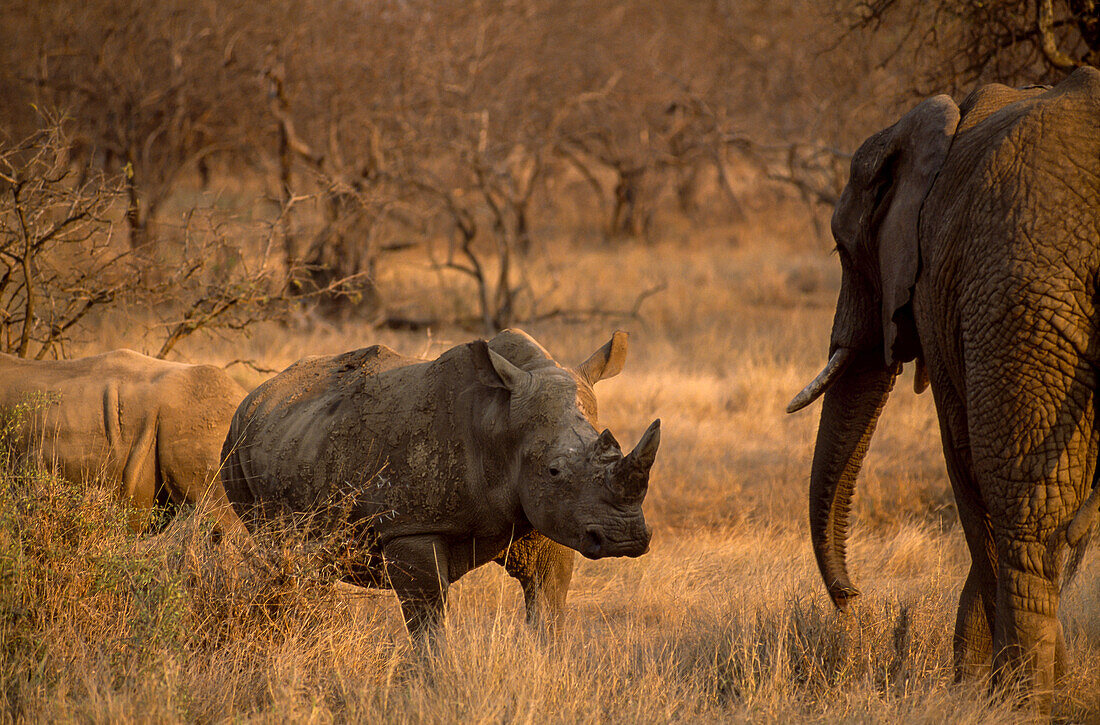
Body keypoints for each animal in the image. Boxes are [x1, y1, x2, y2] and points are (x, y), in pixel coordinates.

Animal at [787, 68, 1100, 708]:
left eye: (839, 248)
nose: (853, 601)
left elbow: (964, 459)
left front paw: (973, 685)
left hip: (1023, 298)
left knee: (1026, 505)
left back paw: (1024, 702)